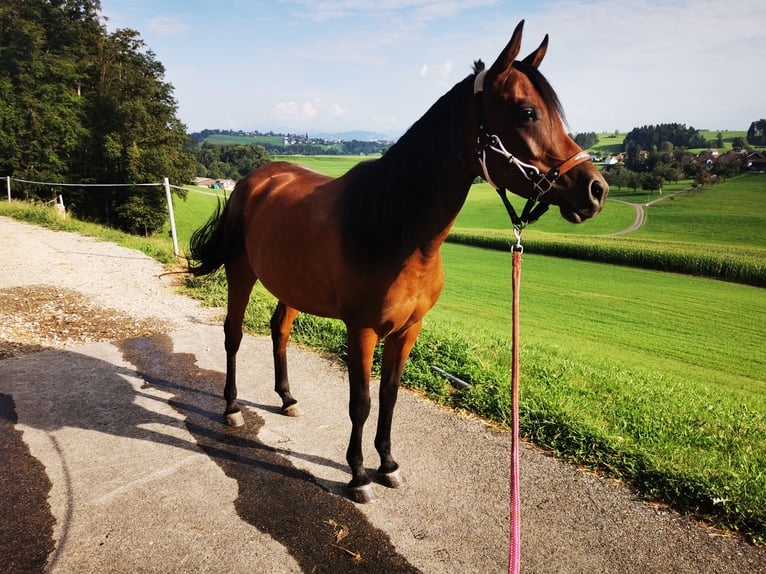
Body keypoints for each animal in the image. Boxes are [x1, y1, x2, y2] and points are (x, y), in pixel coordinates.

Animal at [189, 20, 608, 504]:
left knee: (279, 330)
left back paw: (287, 399)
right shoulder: (362, 330)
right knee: (234, 334)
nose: (595, 189)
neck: (397, 227)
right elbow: (361, 401)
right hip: (242, 273)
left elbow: (389, 396)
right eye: (527, 112)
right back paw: (233, 407)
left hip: (290, 285)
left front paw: (387, 464)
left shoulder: (409, 330)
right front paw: (357, 475)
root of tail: (253, 179)